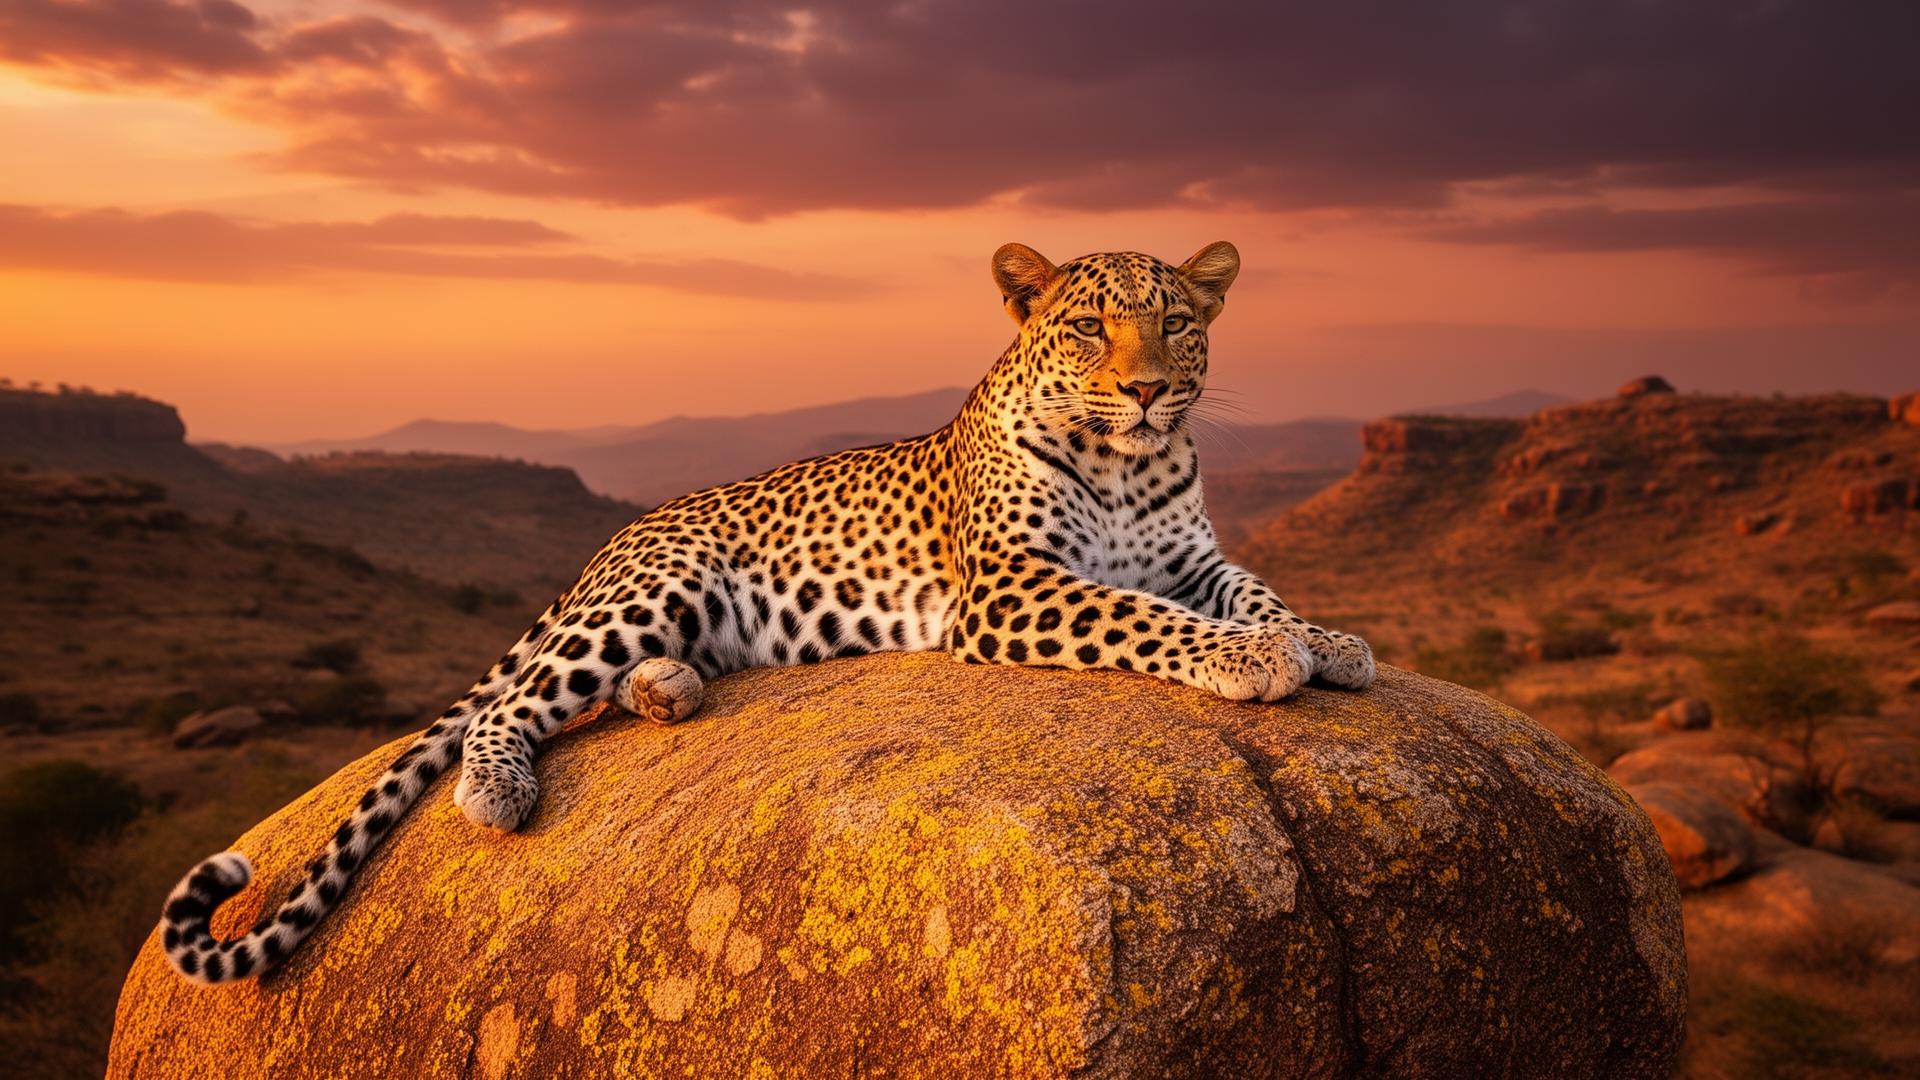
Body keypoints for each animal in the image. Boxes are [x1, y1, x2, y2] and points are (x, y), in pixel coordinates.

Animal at [159, 240, 1375, 984]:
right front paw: (1258, 658)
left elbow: (1252, 592)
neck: (1130, 463)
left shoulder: (1193, 556)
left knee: (594, 691)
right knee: (516, 706)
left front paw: (1329, 641)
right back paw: (499, 787)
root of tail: (615, 538)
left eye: (1175, 323)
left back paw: (669, 693)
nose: (1147, 391)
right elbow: (1148, 619)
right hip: (657, 588)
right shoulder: (1015, 587)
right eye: (1086, 329)